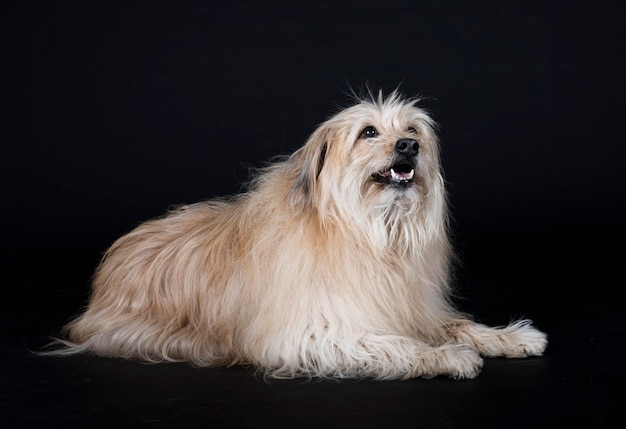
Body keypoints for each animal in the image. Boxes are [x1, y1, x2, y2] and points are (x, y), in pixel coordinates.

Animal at [50, 90, 544, 378]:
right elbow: (395, 343)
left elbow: (455, 323)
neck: (367, 234)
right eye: (368, 132)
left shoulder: (409, 307)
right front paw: (446, 356)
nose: (409, 146)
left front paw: (510, 337)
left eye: (412, 128)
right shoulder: (314, 333)